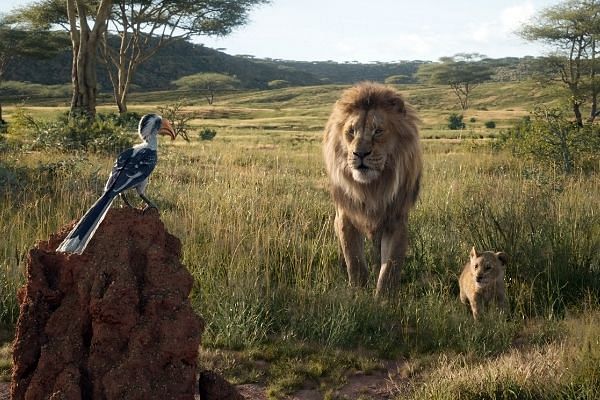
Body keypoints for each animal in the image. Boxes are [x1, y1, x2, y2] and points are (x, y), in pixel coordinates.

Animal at [324, 82, 422, 296]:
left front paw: (383, 299)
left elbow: (389, 267)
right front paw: (358, 295)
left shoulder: (396, 221)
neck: (372, 188)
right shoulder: (345, 217)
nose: (359, 153)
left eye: (378, 131)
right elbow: (354, 261)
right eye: (351, 131)